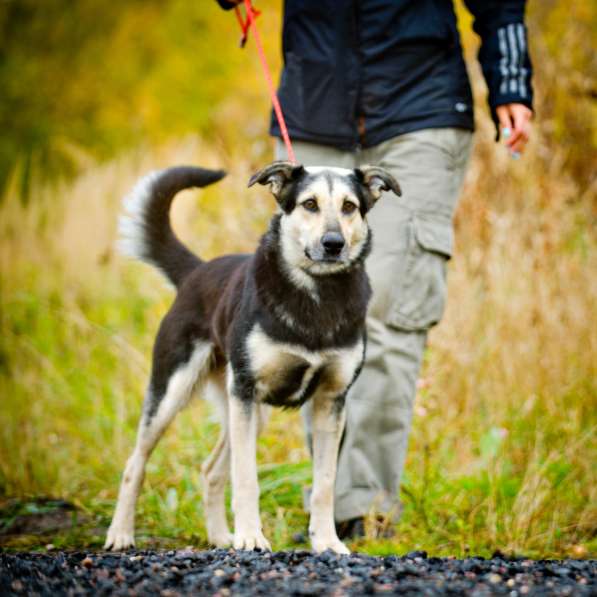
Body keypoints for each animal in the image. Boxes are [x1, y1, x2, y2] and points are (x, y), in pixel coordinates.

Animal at [103, 161, 400, 552]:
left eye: (349, 206)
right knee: (134, 464)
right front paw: (251, 537)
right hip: (176, 394)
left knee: (211, 471)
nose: (333, 244)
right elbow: (246, 478)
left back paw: (218, 537)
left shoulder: (331, 401)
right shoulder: (245, 390)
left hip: (249, 412)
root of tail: (197, 271)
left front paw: (326, 542)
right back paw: (121, 533)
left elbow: (324, 484)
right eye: (309, 204)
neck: (318, 295)